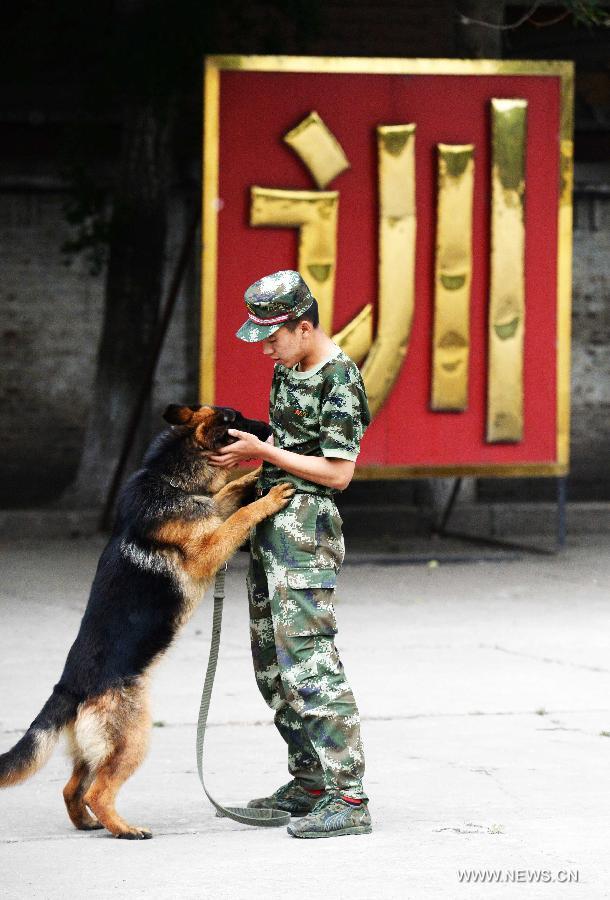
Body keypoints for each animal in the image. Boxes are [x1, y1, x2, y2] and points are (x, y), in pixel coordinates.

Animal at [0, 404, 294, 840]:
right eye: (232, 419)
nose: (269, 428)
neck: (170, 480)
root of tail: (70, 686)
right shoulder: (207, 549)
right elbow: (239, 515)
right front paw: (269, 496)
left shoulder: (209, 510)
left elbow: (227, 496)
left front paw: (257, 475)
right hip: (134, 738)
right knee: (98, 791)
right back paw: (125, 829)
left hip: (98, 747)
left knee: (72, 787)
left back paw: (87, 823)